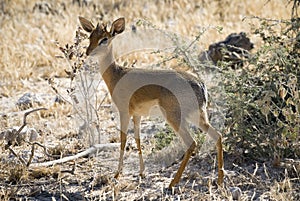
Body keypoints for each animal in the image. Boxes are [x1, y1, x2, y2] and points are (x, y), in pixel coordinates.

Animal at [78, 16, 224, 188]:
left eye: (104, 39)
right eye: (90, 37)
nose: (88, 52)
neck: (117, 74)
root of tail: (200, 85)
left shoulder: (124, 112)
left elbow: (123, 140)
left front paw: (117, 174)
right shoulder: (137, 115)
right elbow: (138, 140)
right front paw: (141, 172)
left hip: (174, 117)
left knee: (192, 142)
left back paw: (173, 182)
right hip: (197, 116)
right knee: (217, 135)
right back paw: (220, 180)